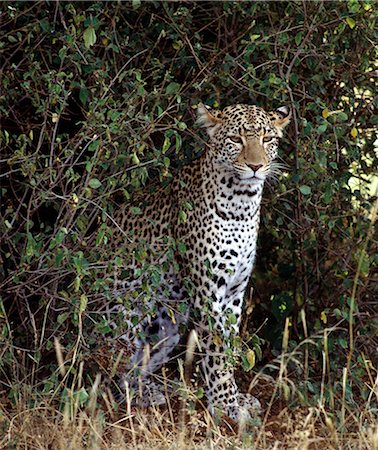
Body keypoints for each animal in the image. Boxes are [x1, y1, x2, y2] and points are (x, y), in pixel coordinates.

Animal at [108, 101, 290, 422]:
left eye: (267, 139)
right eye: (236, 139)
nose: (256, 167)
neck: (242, 205)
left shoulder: (234, 292)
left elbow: (228, 346)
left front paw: (236, 398)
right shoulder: (208, 291)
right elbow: (216, 349)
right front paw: (226, 404)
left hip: (168, 330)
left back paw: (159, 390)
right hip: (125, 318)